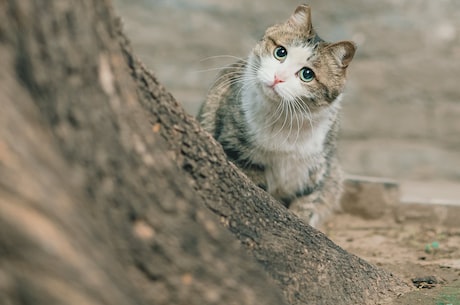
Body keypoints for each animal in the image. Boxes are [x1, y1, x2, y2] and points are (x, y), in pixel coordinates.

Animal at [197, 2, 356, 226]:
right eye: (280, 52)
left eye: (307, 74)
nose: (277, 77)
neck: (284, 119)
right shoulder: (237, 151)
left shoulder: (314, 172)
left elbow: (305, 206)